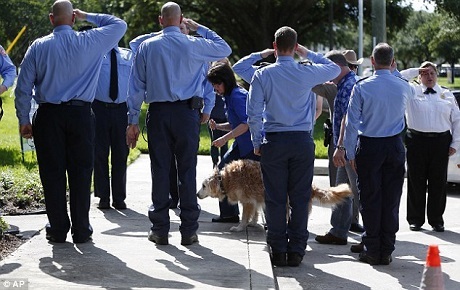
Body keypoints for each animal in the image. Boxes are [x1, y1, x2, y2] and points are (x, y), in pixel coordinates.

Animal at [197, 159, 352, 231]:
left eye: (203, 186)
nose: (197, 195)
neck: (225, 180)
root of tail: (311, 186)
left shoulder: (247, 201)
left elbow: (245, 217)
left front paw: (240, 227)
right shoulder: (255, 201)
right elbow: (255, 213)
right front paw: (253, 223)